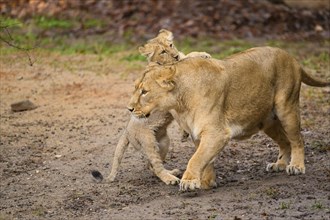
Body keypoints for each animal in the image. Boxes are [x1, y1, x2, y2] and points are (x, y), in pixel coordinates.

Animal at [104, 29, 210, 184]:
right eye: (162, 52)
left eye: (171, 45)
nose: (175, 55)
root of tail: (127, 131)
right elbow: (185, 60)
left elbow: (187, 57)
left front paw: (203, 54)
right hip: (149, 143)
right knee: (156, 166)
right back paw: (170, 178)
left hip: (164, 142)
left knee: (151, 166)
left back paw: (172, 172)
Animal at [127, 46, 328, 191]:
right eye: (136, 88)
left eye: (144, 92)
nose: (129, 108)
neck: (180, 103)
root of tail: (291, 57)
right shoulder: (199, 134)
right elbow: (205, 157)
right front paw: (207, 182)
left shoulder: (217, 133)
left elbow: (196, 158)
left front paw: (190, 181)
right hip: (268, 121)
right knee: (285, 141)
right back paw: (279, 164)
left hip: (287, 108)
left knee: (297, 139)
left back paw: (296, 166)